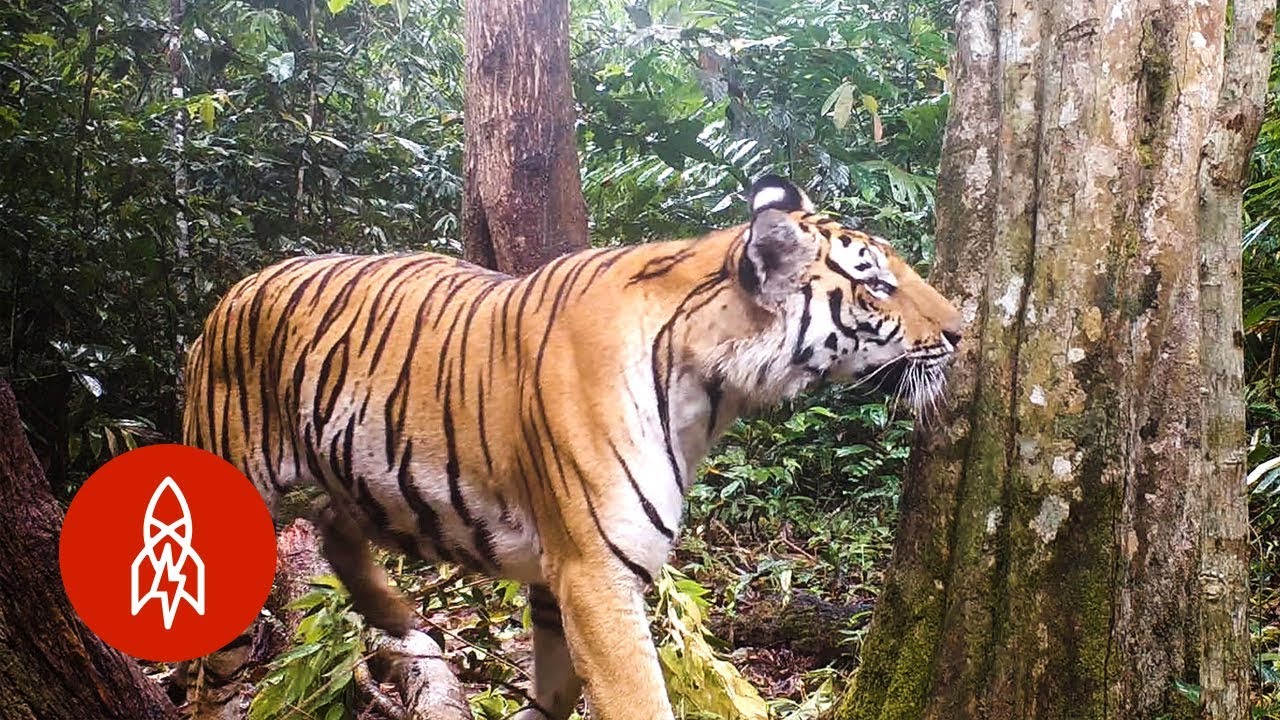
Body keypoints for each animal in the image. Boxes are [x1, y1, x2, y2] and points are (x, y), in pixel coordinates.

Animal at [181, 175, 962, 719]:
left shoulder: (561, 577)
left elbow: (553, 693)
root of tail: (229, 295)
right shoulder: (596, 576)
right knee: (212, 674)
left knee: (335, 524)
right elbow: (637, 700)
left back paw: (401, 622)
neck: (715, 393)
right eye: (876, 283)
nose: (961, 330)